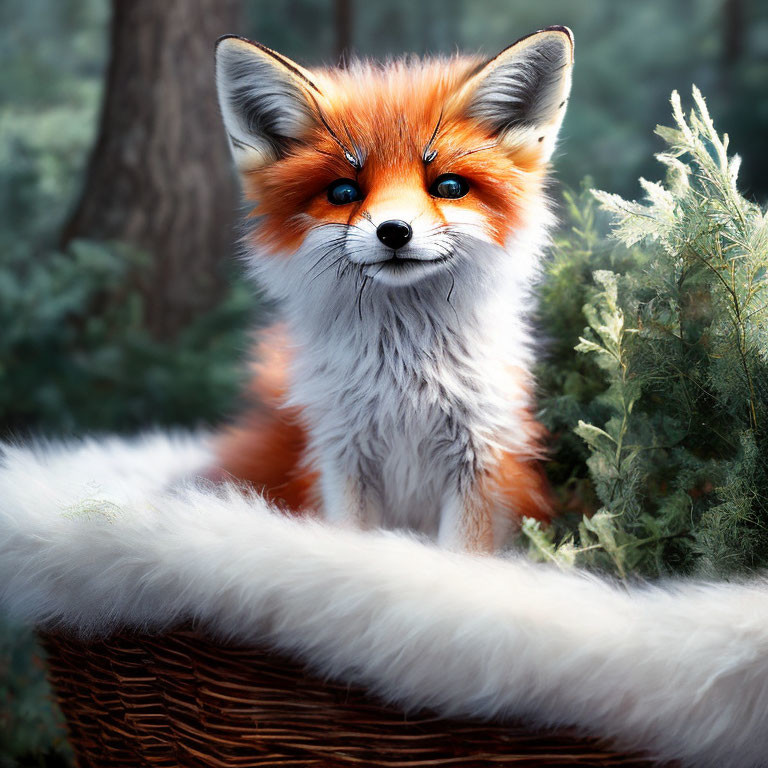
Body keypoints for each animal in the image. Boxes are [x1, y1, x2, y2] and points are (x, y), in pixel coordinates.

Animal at [210, 25, 576, 552]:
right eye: (343, 192)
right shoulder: (342, 455)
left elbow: (463, 554)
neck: (406, 385)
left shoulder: (484, 455)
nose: (394, 231)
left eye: (448, 186)